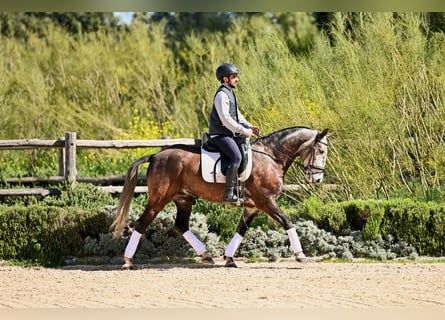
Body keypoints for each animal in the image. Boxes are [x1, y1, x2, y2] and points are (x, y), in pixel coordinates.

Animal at [112, 126, 332, 268]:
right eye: (321, 150)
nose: (318, 179)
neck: (271, 157)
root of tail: (155, 155)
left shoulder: (252, 206)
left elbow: (241, 230)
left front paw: (228, 258)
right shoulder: (266, 202)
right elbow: (288, 222)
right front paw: (300, 255)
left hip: (183, 198)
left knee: (181, 225)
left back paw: (206, 255)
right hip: (159, 199)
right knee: (141, 223)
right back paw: (128, 261)